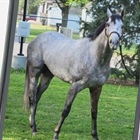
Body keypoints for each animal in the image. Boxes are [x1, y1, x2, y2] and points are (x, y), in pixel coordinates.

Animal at [23, 8, 123, 139]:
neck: (95, 57)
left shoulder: (96, 88)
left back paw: (32, 124)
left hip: (47, 76)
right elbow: (66, 110)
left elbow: (94, 112)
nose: (113, 42)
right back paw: (34, 128)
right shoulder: (75, 86)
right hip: (34, 73)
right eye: (107, 24)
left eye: (122, 26)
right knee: (33, 98)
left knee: (38, 96)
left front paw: (95, 135)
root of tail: (36, 39)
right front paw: (56, 134)